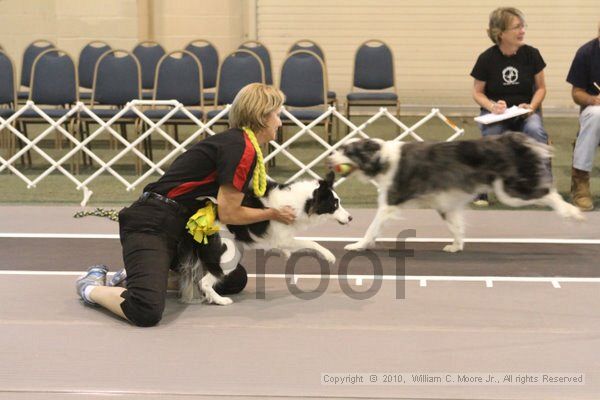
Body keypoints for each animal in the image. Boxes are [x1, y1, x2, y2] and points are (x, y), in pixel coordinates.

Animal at [178, 170, 352, 304]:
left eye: (339, 202)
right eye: (334, 205)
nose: (350, 218)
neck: (302, 202)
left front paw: (285, 253)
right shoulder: (284, 237)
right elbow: (311, 242)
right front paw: (328, 255)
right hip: (229, 255)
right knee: (204, 282)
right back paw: (220, 300)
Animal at [326, 133, 584, 255]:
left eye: (346, 151)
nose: (328, 158)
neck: (380, 158)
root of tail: (507, 139)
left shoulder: (390, 201)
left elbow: (372, 227)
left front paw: (358, 245)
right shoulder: (444, 203)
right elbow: (455, 225)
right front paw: (456, 246)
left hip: (509, 192)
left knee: (547, 192)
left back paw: (574, 213)